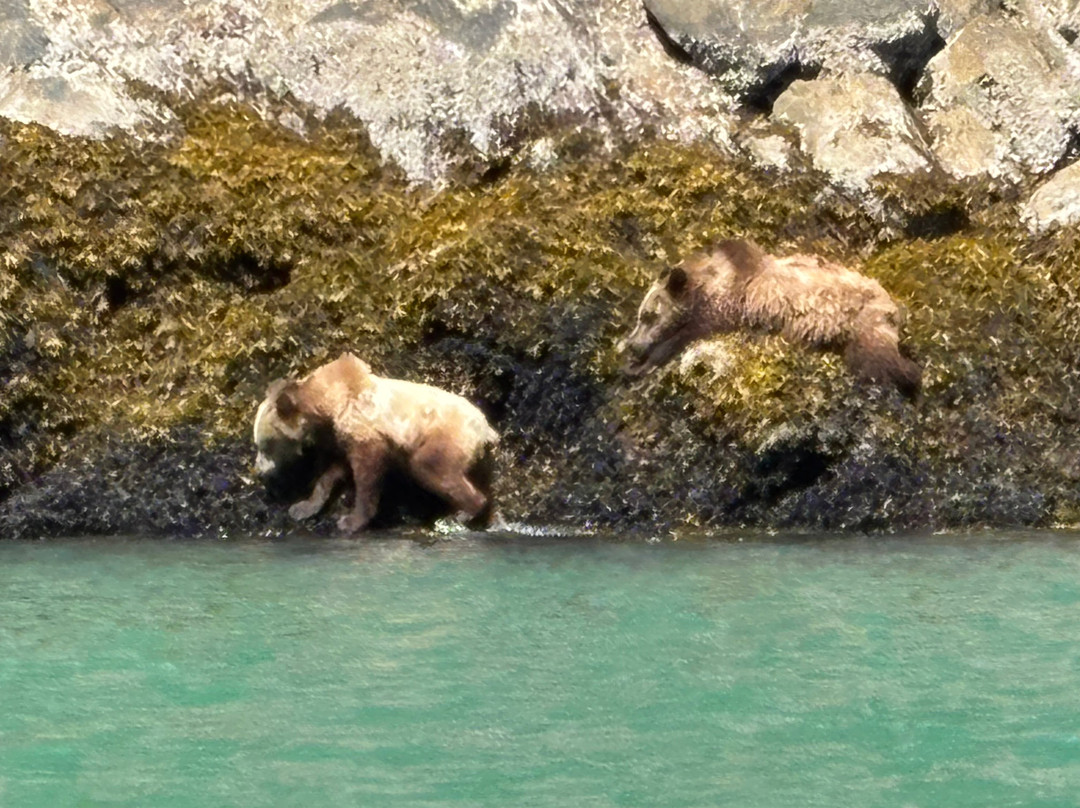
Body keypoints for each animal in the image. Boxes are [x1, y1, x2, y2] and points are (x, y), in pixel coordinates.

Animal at [254, 352, 499, 533]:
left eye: (265, 444)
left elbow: (367, 474)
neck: (327, 404)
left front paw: (350, 520)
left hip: (443, 437)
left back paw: (460, 514)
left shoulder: (365, 429)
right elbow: (333, 470)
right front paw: (302, 507)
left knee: (431, 467)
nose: (260, 471)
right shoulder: (342, 436)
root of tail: (486, 427)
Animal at [620, 239, 921, 396]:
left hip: (863, 320)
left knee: (874, 357)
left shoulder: (727, 307)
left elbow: (686, 335)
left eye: (648, 315)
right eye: (641, 315)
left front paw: (641, 365)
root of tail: (893, 306)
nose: (633, 344)